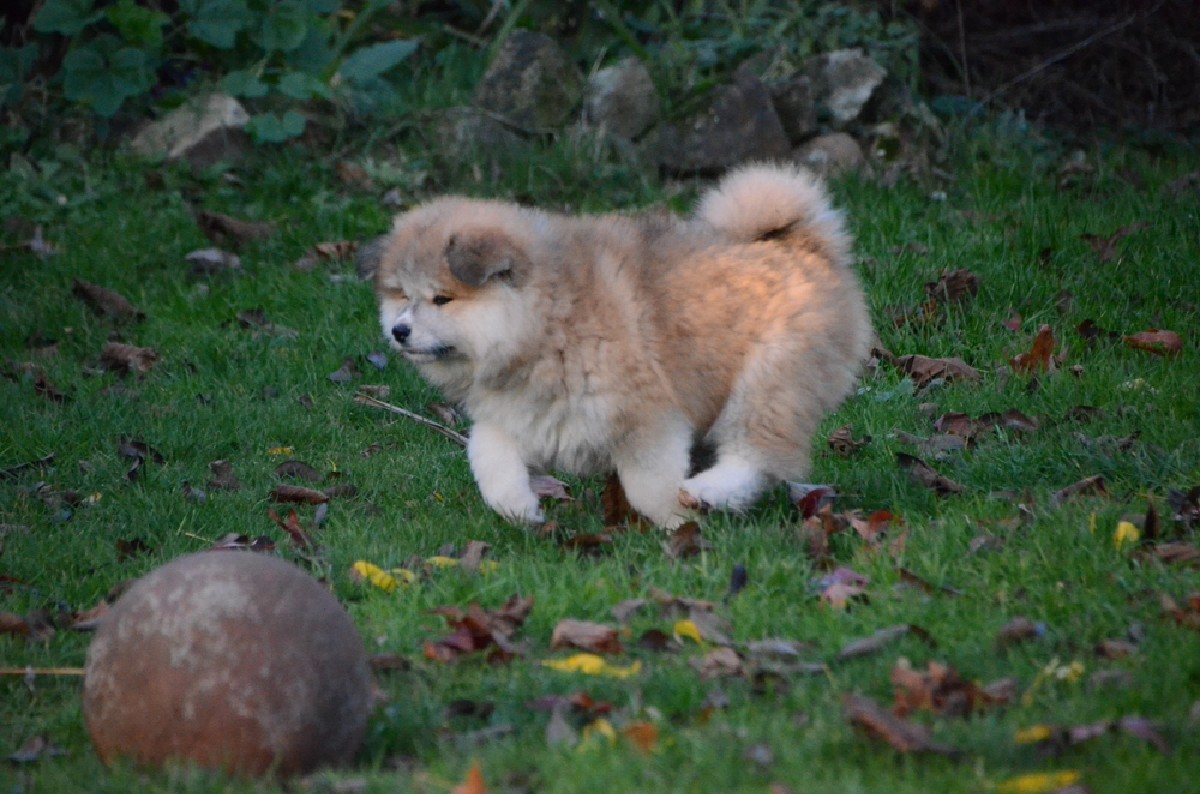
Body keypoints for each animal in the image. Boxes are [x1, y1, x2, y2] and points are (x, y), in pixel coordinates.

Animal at [376, 163, 872, 528]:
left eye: (441, 299)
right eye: (401, 295)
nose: (399, 331)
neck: (547, 320)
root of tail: (805, 244)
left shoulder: (647, 419)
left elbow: (649, 487)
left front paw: (678, 526)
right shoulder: (516, 415)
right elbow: (489, 459)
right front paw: (518, 508)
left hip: (771, 378)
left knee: (756, 451)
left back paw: (706, 492)